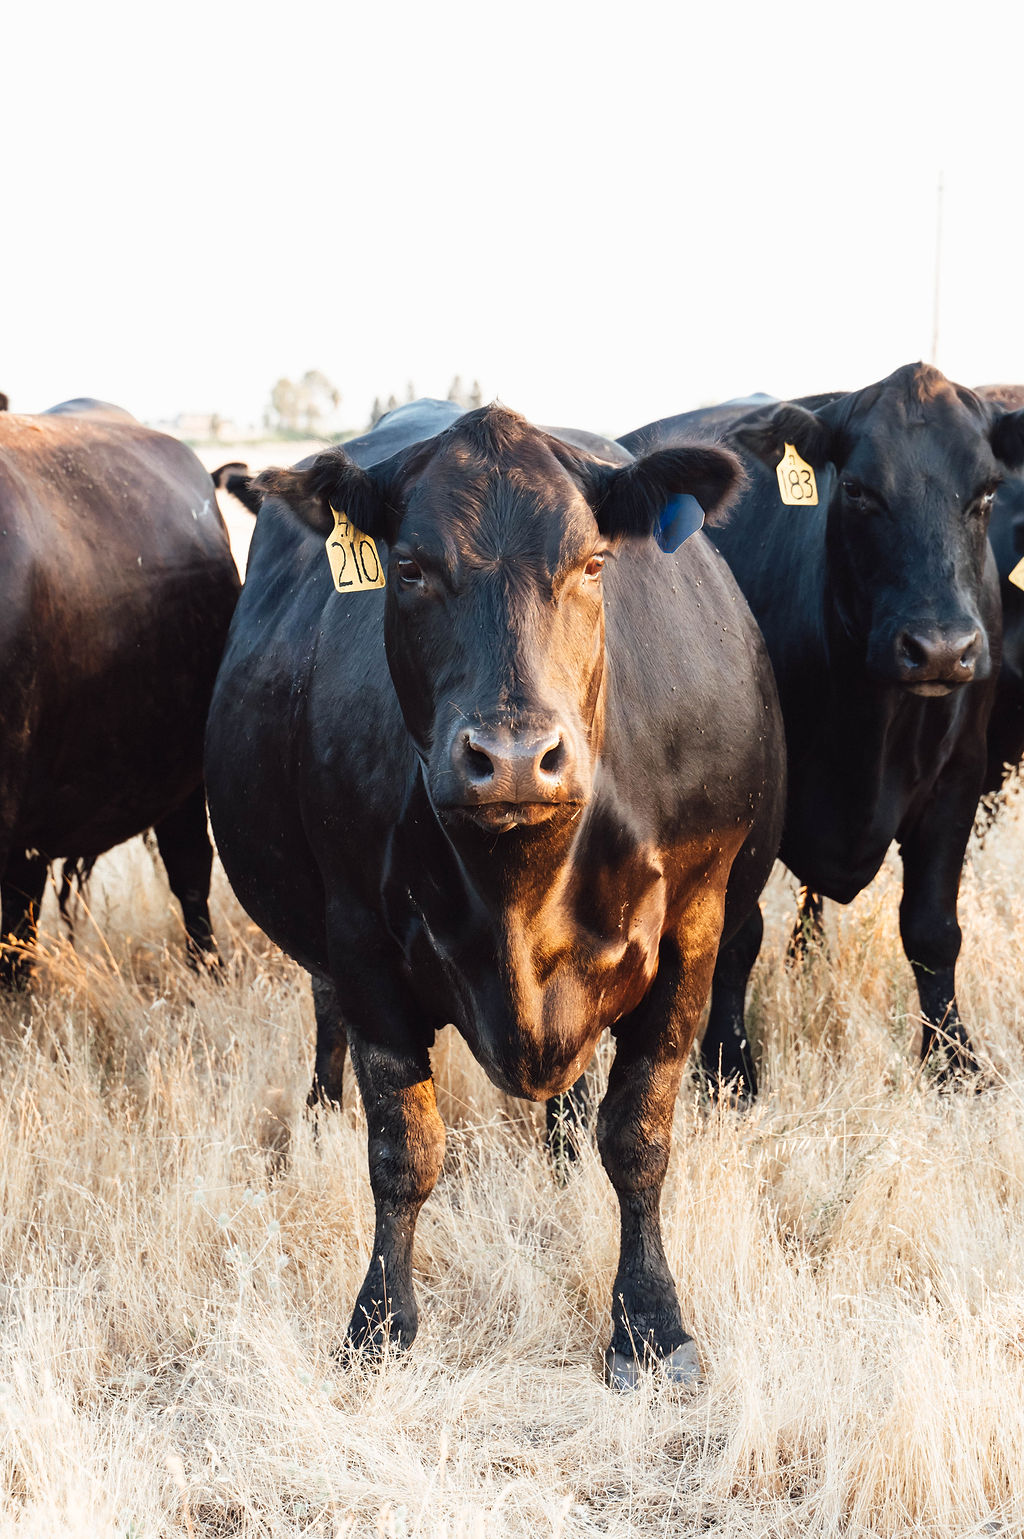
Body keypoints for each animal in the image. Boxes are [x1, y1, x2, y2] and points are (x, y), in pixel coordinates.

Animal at [205, 398, 785, 1386]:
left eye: (592, 562)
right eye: (409, 567)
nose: (513, 756)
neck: (523, 888)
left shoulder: (696, 925)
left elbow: (638, 1133)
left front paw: (651, 1321)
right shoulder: (360, 938)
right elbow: (402, 1147)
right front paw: (379, 1322)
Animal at [622, 362, 1024, 1095]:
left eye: (984, 494)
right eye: (860, 491)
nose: (940, 648)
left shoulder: (961, 780)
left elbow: (933, 930)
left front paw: (956, 1062)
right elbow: (737, 938)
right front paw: (728, 1067)